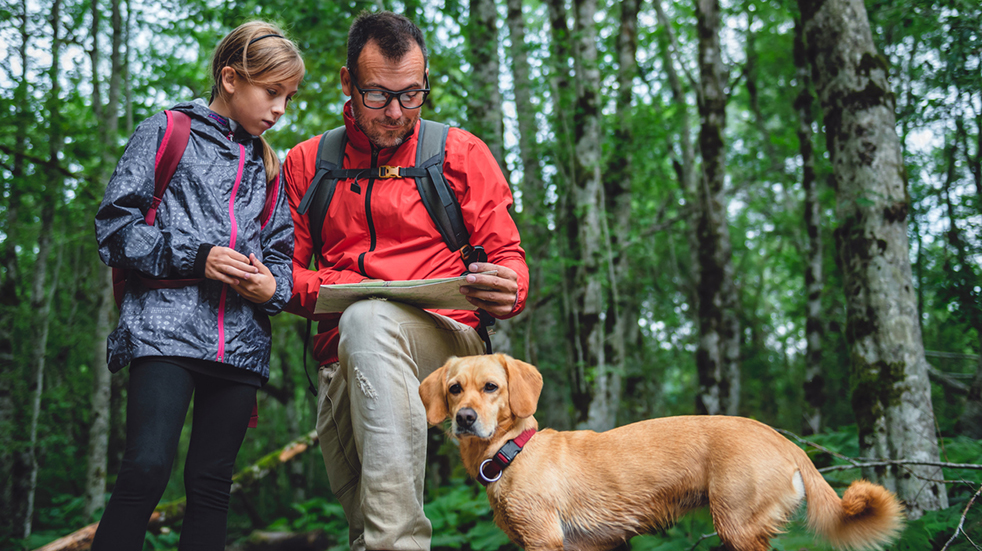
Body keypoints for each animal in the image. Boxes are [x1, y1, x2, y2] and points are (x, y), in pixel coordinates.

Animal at [418, 354, 904, 551]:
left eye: (491, 388)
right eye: (454, 389)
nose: (464, 419)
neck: (511, 451)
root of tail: (784, 440)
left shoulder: (544, 540)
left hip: (737, 528)